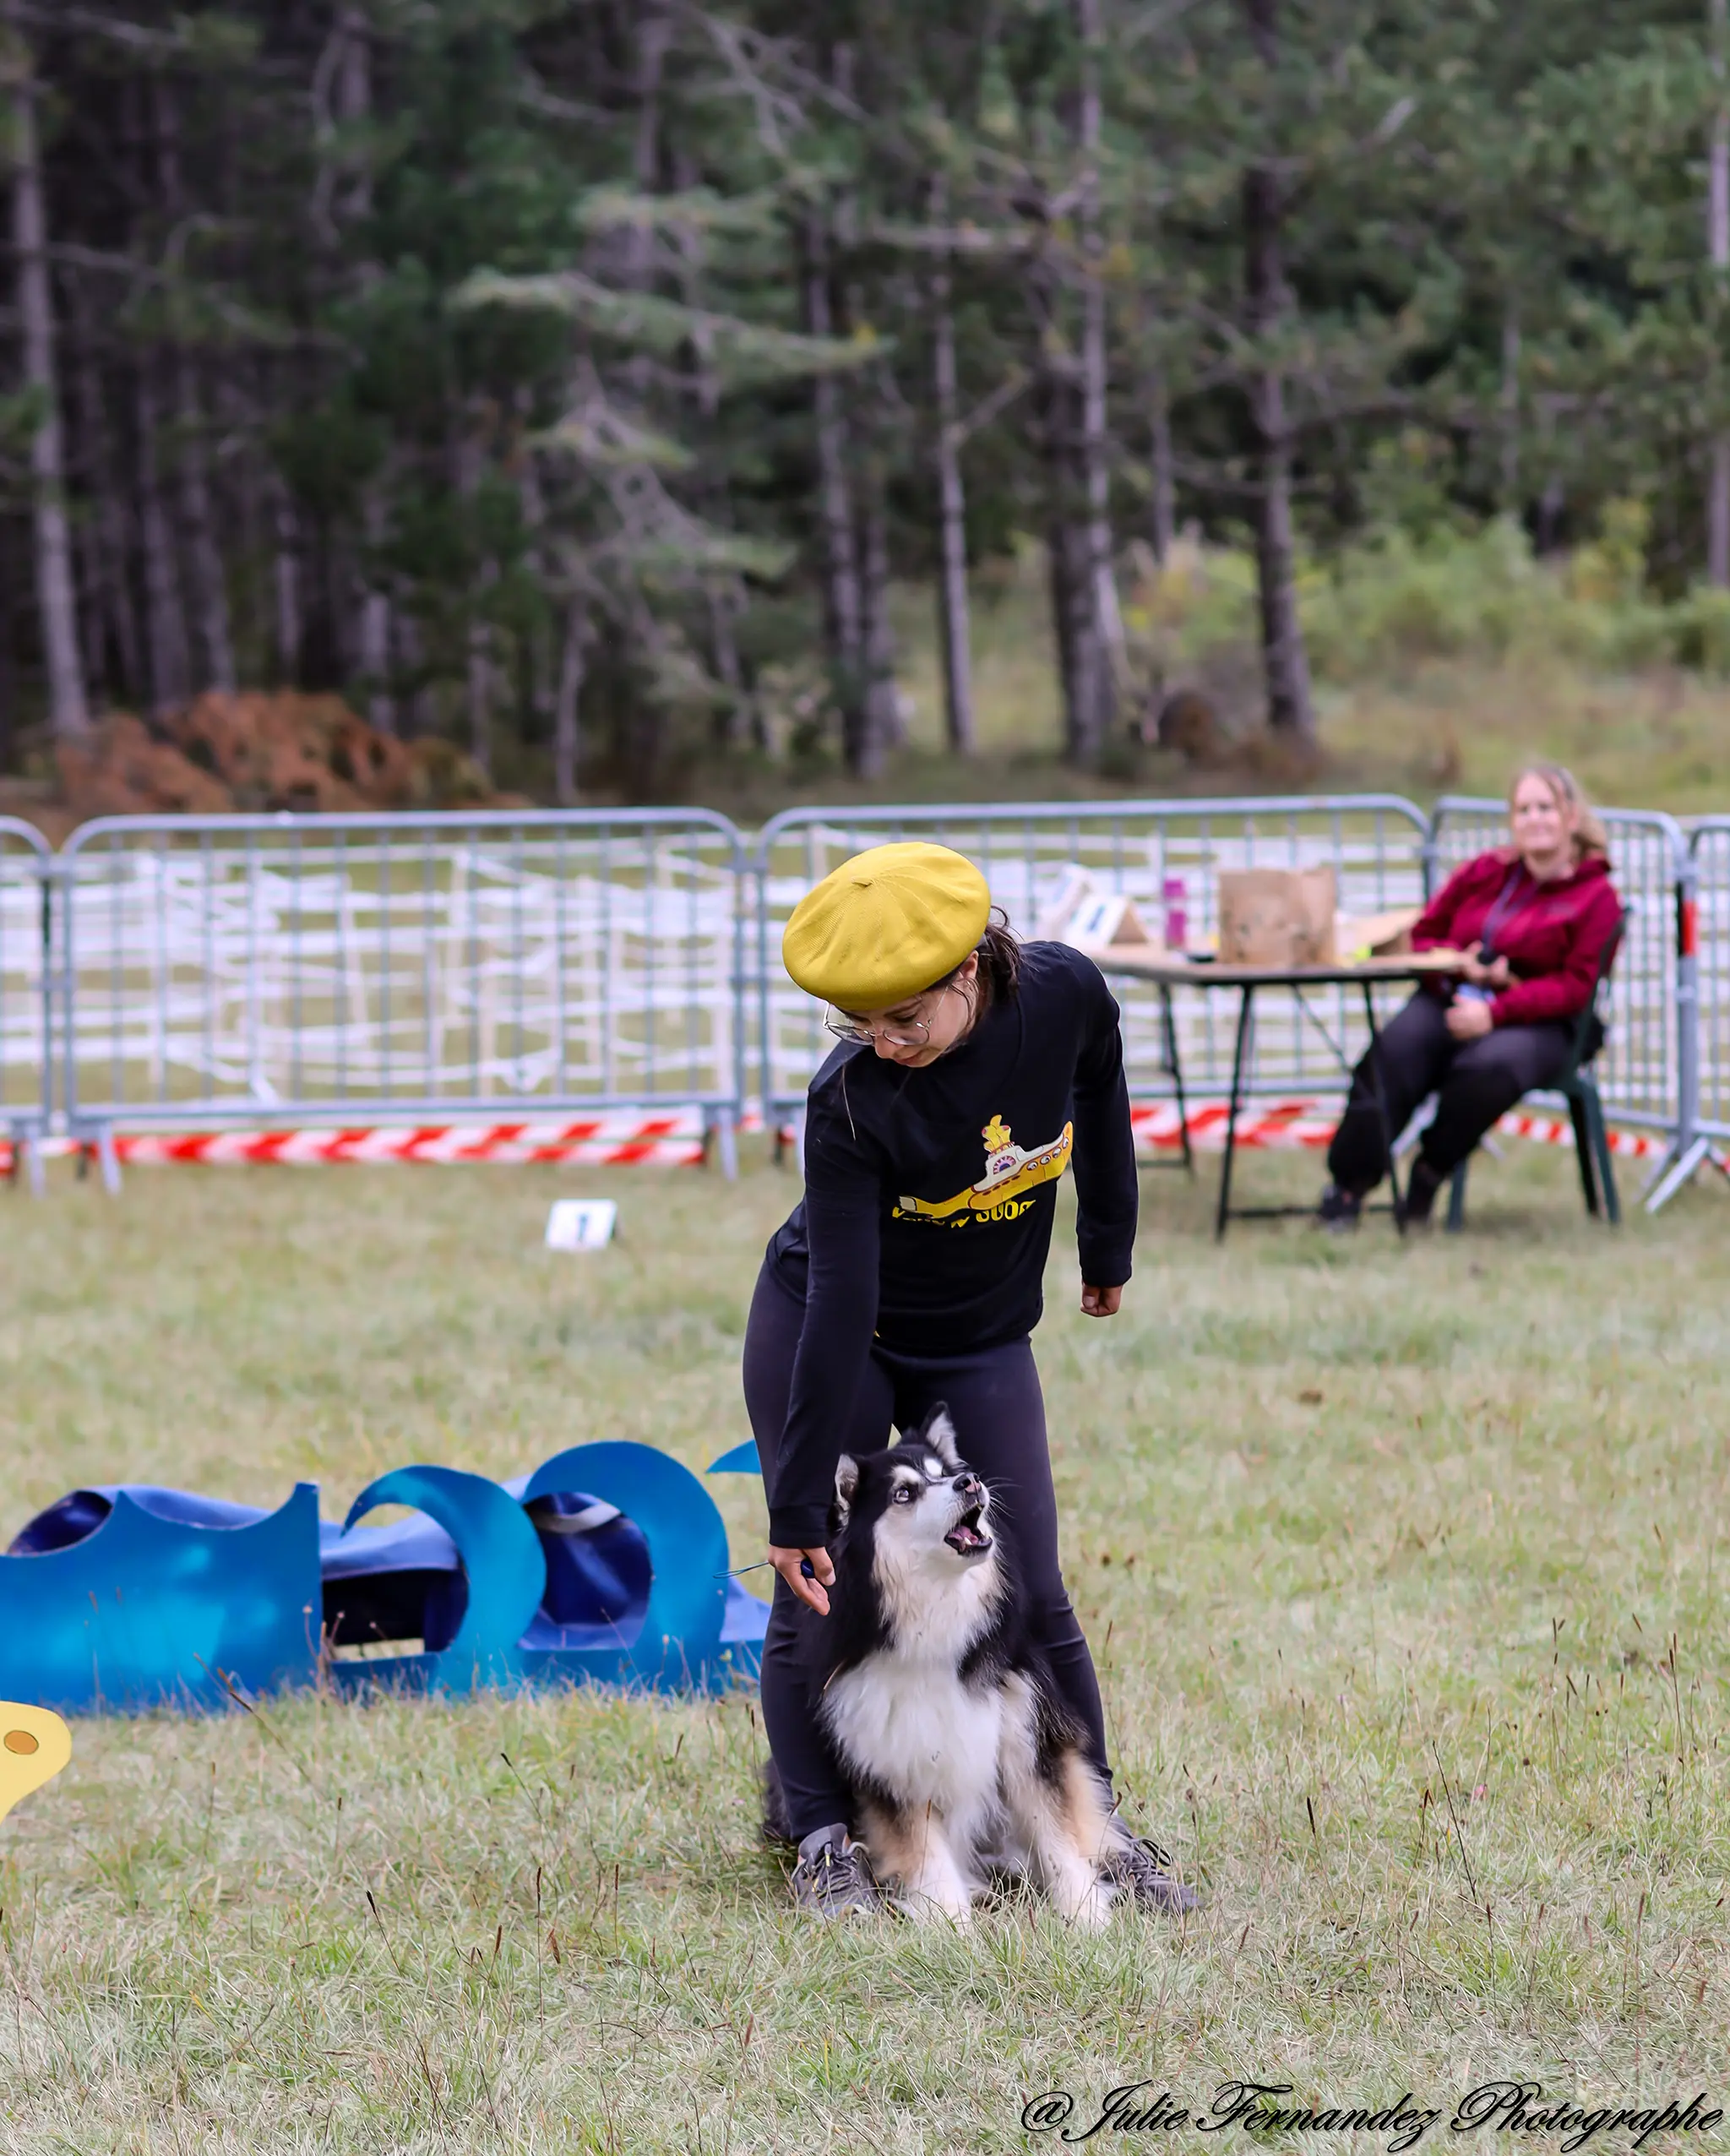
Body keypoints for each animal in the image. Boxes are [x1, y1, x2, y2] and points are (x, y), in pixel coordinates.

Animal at [819, 1405, 1129, 1931]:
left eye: (944, 1474)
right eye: (904, 1493)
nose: (970, 1481)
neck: (937, 1621)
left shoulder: (1028, 1736)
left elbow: (1059, 1836)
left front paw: (1086, 1917)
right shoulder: (896, 1759)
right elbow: (930, 1857)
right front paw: (953, 1929)